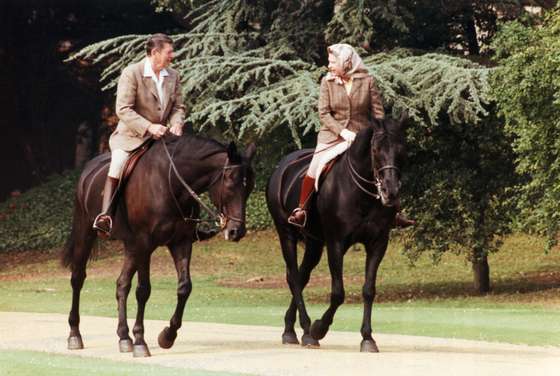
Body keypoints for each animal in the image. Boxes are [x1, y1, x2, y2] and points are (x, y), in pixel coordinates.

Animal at [60, 134, 256, 356]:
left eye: (250, 187)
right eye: (230, 185)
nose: (236, 232)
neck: (171, 184)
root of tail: (88, 169)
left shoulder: (180, 243)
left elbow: (184, 287)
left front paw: (167, 336)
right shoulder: (145, 244)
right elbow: (143, 290)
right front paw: (140, 341)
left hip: (131, 247)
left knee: (122, 284)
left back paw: (124, 337)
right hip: (87, 233)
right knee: (78, 278)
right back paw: (75, 334)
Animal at [266, 117, 406, 352]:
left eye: (401, 149)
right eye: (376, 149)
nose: (391, 191)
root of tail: (283, 165)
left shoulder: (378, 243)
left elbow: (369, 290)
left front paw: (367, 338)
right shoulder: (336, 244)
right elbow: (338, 293)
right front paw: (318, 328)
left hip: (314, 244)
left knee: (302, 276)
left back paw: (291, 329)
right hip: (286, 234)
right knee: (294, 277)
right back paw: (306, 330)